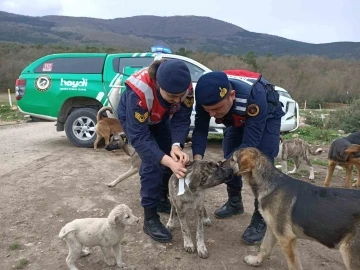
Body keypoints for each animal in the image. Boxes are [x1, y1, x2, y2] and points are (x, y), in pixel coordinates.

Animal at [224, 148, 360, 270]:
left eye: (232, 159)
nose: (220, 163)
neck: (271, 183)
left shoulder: (286, 238)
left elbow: (293, 265)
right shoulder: (273, 229)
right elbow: (265, 247)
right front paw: (255, 261)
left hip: (350, 255)